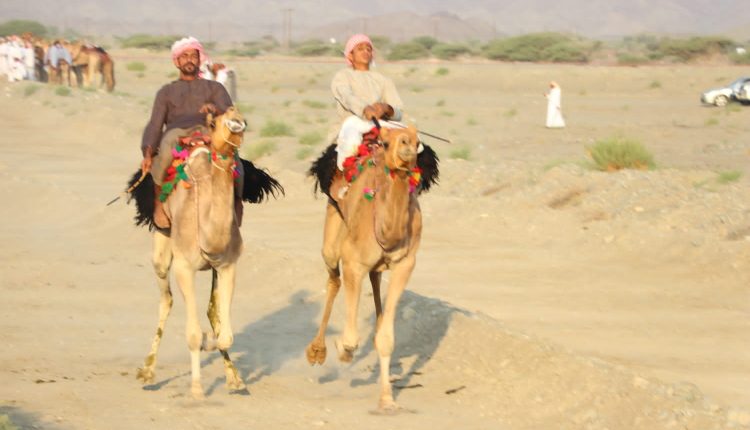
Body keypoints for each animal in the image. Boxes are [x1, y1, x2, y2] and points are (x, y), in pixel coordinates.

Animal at [133, 107, 249, 399]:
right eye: (215, 122)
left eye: (241, 114)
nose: (235, 118)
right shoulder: (184, 267)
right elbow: (194, 335)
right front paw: (197, 388)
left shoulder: (228, 265)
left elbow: (225, 335)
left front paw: (232, 376)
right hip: (163, 246)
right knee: (166, 298)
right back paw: (147, 371)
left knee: (211, 311)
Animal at [306, 125, 434, 412]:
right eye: (386, 143)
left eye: (417, 140)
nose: (407, 146)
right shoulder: (353, 262)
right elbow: (351, 338)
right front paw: (343, 349)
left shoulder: (405, 264)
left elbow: (386, 338)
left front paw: (387, 399)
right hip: (332, 237)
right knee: (334, 280)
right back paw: (317, 350)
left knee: (375, 283)